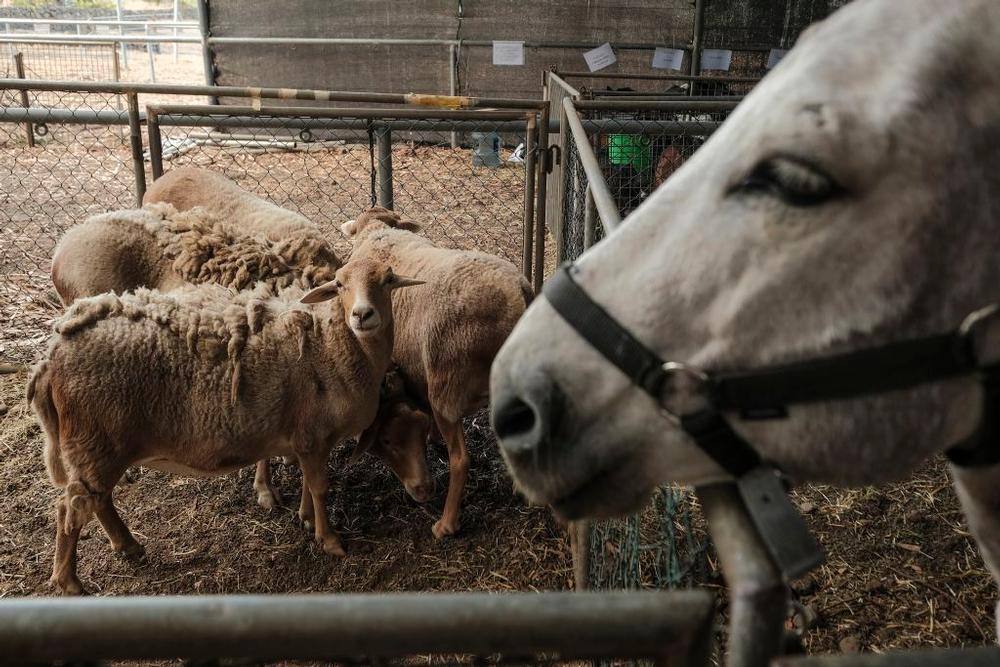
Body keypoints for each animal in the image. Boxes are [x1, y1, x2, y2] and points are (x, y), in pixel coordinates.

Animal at [28, 258, 422, 596]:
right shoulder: (312, 435)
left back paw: (128, 546)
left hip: (101, 446)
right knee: (72, 508)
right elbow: (321, 488)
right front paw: (330, 540)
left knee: (98, 500)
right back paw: (70, 582)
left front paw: (306, 518)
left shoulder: (306, 437)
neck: (333, 346)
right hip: (95, 441)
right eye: (339, 284)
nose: (362, 314)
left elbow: (309, 484)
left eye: (388, 279)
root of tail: (51, 357)